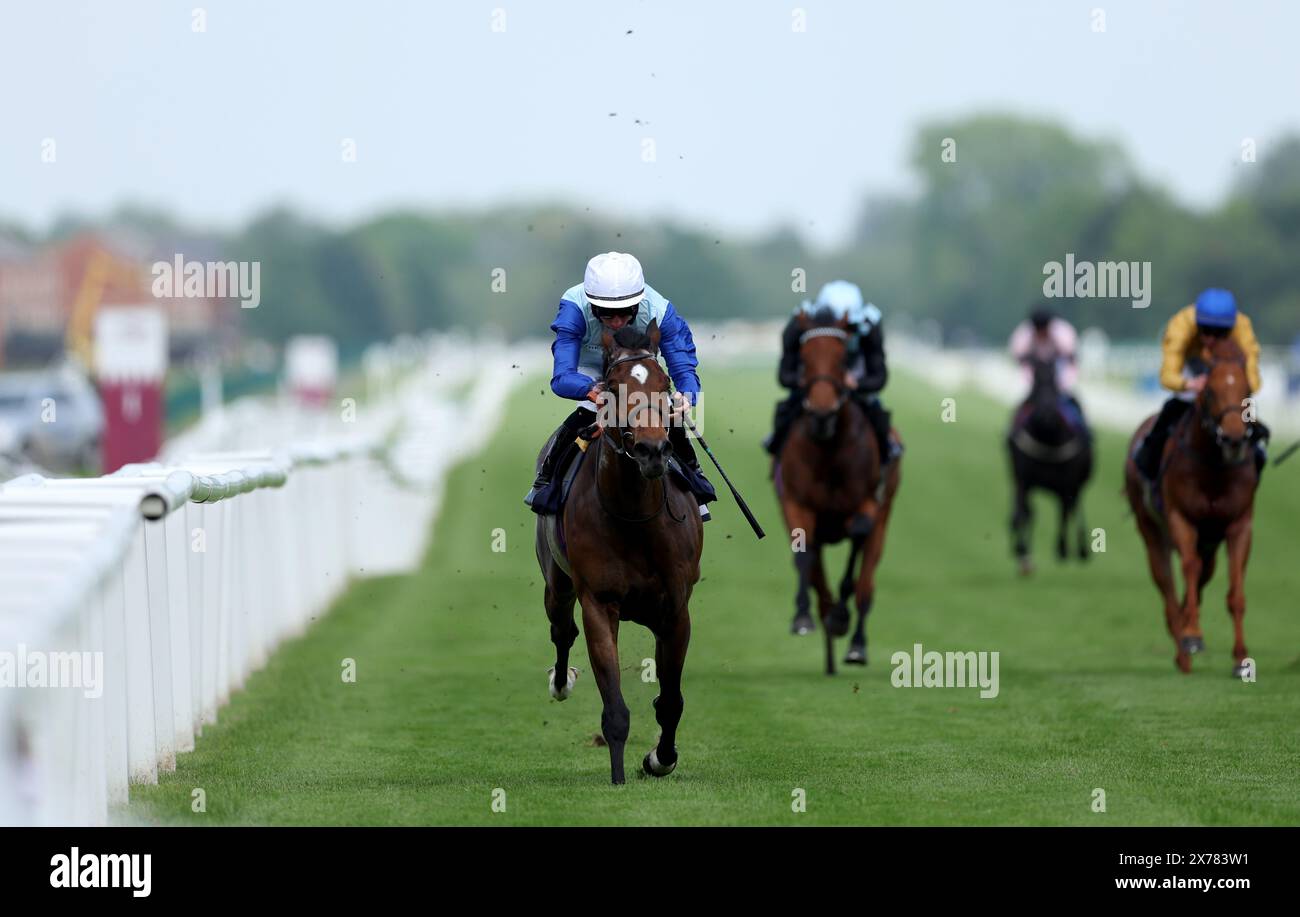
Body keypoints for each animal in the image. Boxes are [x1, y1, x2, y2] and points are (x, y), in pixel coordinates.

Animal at [533, 319, 707, 780]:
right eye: (612, 386)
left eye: (665, 384)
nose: (651, 450)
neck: (635, 518)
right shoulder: (599, 602)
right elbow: (614, 708)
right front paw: (617, 777)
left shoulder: (675, 609)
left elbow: (671, 700)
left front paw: (660, 759)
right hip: (557, 583)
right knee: (562, 629)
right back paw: (561, 682)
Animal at [774, 310, 899, 676]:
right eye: (803, 358)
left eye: (844, 359)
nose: (821, 414)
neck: (829, 449)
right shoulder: (795, 503)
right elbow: (804, 554)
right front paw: (802, 617)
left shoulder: (868, 503)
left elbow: (858, 537)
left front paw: (842, 617)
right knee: (819, 581)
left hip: (884, 517)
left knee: (866, 586)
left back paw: (855, 642)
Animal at [1008, 356, 1092, 572]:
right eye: (1035, 378)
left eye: (1055, 377)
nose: (1046, 413)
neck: (1047, 437)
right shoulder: (1023, 480)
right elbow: (1023, 513)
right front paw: (1022, 551)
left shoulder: (1067, 483)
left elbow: (1064, 513)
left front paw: (1062, 549)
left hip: (1078, 483)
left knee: (1073, 508)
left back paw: (1079, 549)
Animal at [1128, 335, 1258, 671]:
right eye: (1209, 390)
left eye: (1246, 389)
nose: (1234, 437)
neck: (1213, 468)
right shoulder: (1180, 518)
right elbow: (1187, 567)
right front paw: (1190, 635)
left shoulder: (1239, 524)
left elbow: (1235, 591)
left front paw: (1241, 658)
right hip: (1151, 529)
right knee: (1168, 585)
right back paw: (1182, 649)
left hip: (1209, 540)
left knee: (1200, 578)